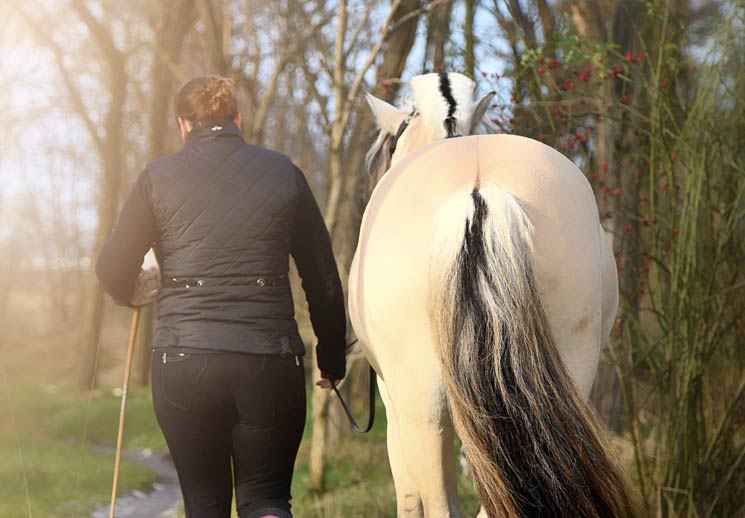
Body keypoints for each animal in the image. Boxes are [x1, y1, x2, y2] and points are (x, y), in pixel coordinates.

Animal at [346, 74, 632, 518]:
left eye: (391, 146)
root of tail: (479, 189)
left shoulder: (392, 401)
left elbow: (409, 498)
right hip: (561, 384)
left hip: (421, 411)